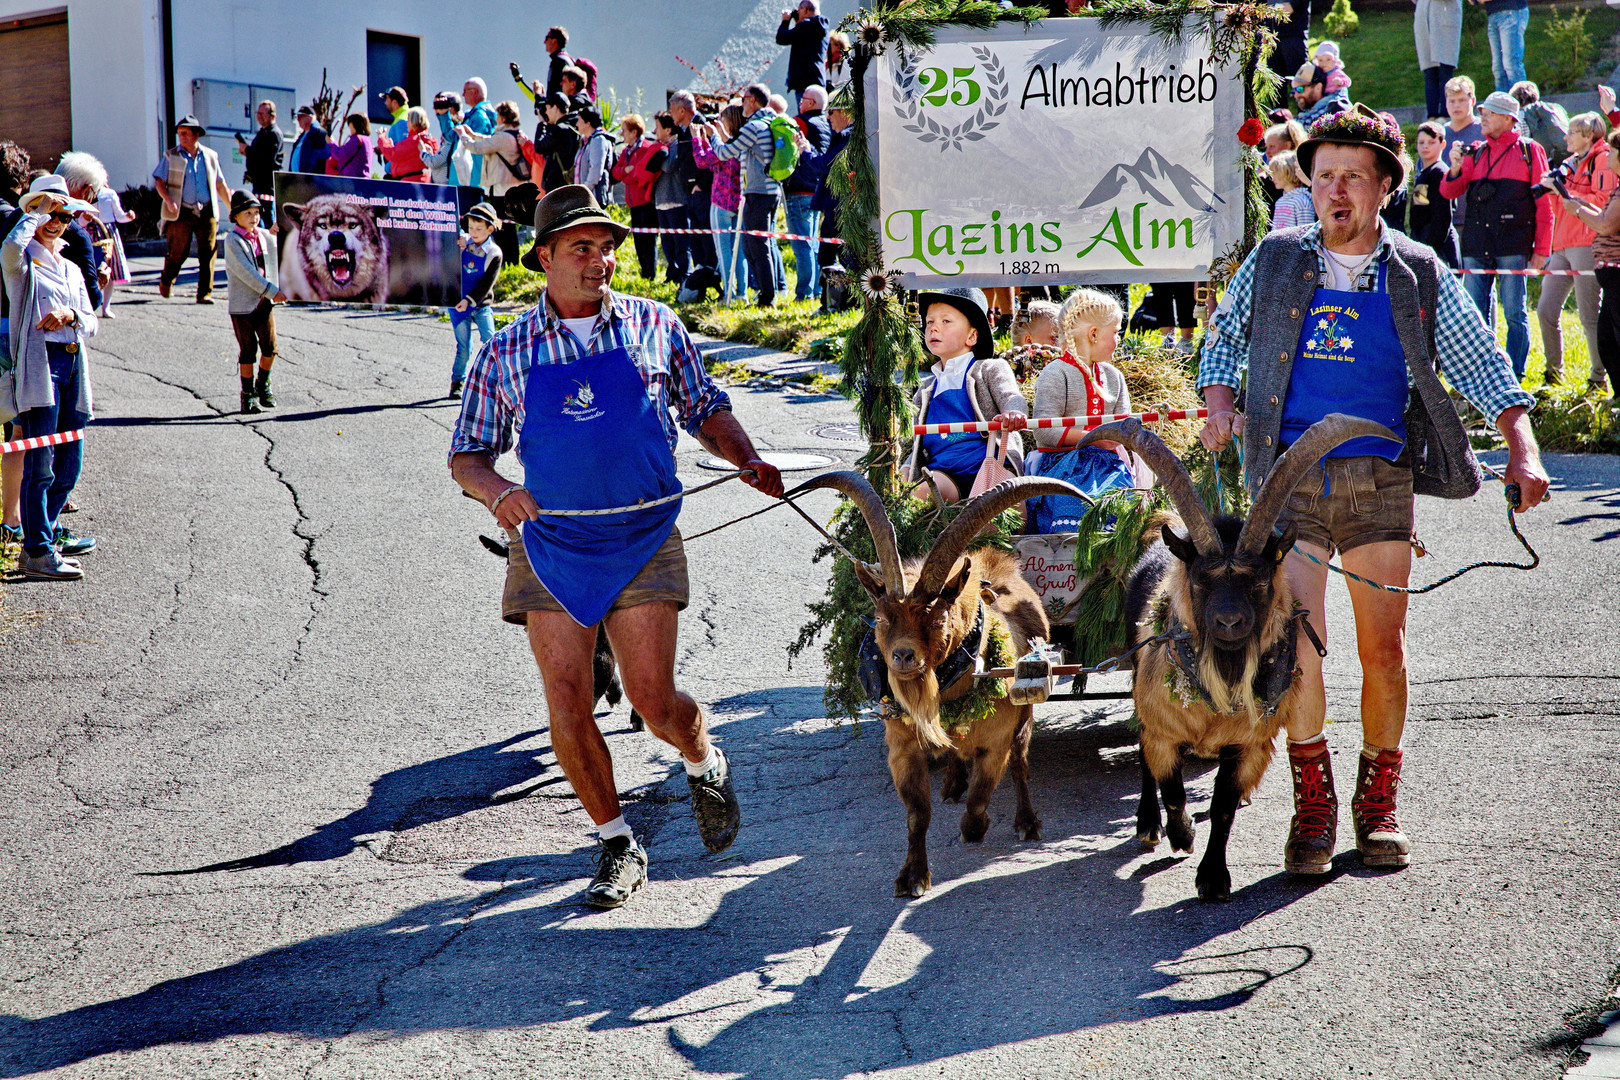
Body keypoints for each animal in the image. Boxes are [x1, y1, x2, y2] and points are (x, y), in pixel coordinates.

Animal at [793, 469, 1082, 893]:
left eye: (937, 618)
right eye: (881, 618)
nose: (903, 656)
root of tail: (997, 562)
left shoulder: (996, 742)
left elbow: (983, 795)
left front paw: (975, 829)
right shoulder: (902, 746)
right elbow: (917, 814)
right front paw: (912, 877)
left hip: (1026, 704)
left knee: (1021, 761)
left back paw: (1027, 822)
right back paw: (952, 784)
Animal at [1088, 414, 1406, 906]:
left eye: (1259, 580)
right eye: (1201, 580)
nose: (1229, 622)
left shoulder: (1247, 743)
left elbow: (1220, 807)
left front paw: (1213, 879)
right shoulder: (1163, 725)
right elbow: (1171, 786)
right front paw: (1181, 835)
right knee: (1143, 754)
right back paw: (1148, 826)